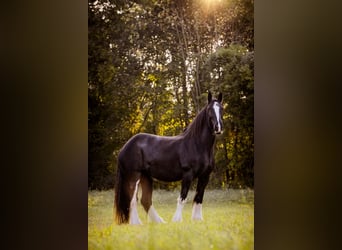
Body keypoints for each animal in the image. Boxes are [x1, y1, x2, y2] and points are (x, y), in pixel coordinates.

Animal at [113, 91, 223, 224]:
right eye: (209, 110)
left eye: (221, 109)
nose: (218, 128)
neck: (197, 145)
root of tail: (124, 148)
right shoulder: (188, 174)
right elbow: (182, 198)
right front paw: (177, 220)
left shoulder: (205, 176)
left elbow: (199, 198)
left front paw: (197, 220)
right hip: (134, 176)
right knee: (133, 200)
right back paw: (136, 223)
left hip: (146, 177)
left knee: (145, 200)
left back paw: (159, 222)